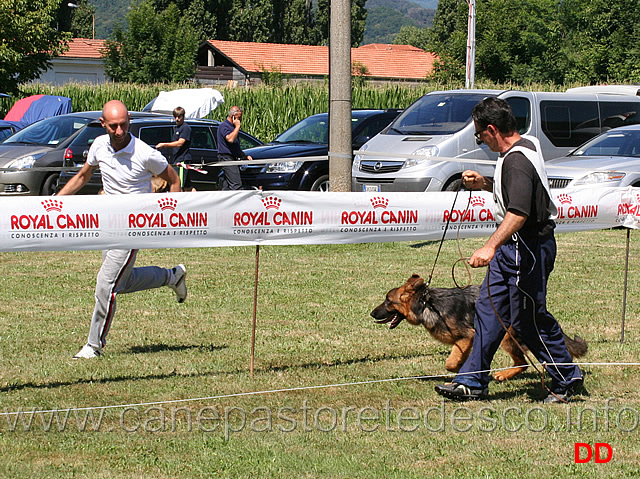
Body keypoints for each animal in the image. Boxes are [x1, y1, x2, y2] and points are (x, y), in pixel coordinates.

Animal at [370, 274, 584, 382]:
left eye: (388, 301)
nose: (371, 313)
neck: (425, 304)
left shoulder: (468, 336)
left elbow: (451, 362)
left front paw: (460, 371)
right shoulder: (465, 341)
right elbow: (459, 358)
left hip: (506, 337)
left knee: (522, 362)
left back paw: (503, 375)